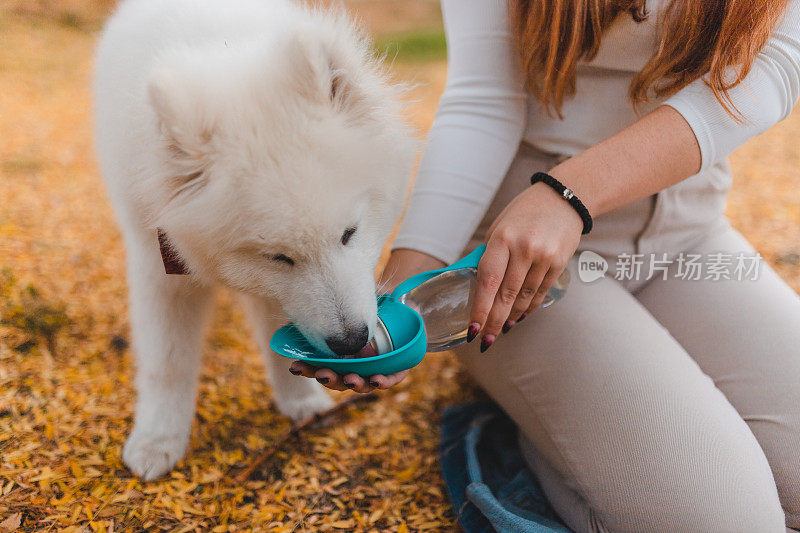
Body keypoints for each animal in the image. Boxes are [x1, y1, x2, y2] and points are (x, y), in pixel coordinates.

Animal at [93, 0, 416, 478]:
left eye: (349, 234)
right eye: (278, 257)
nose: (351, 341)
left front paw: (302, 403)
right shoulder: (159, 262)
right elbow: (165, 360)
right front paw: (157, 440)